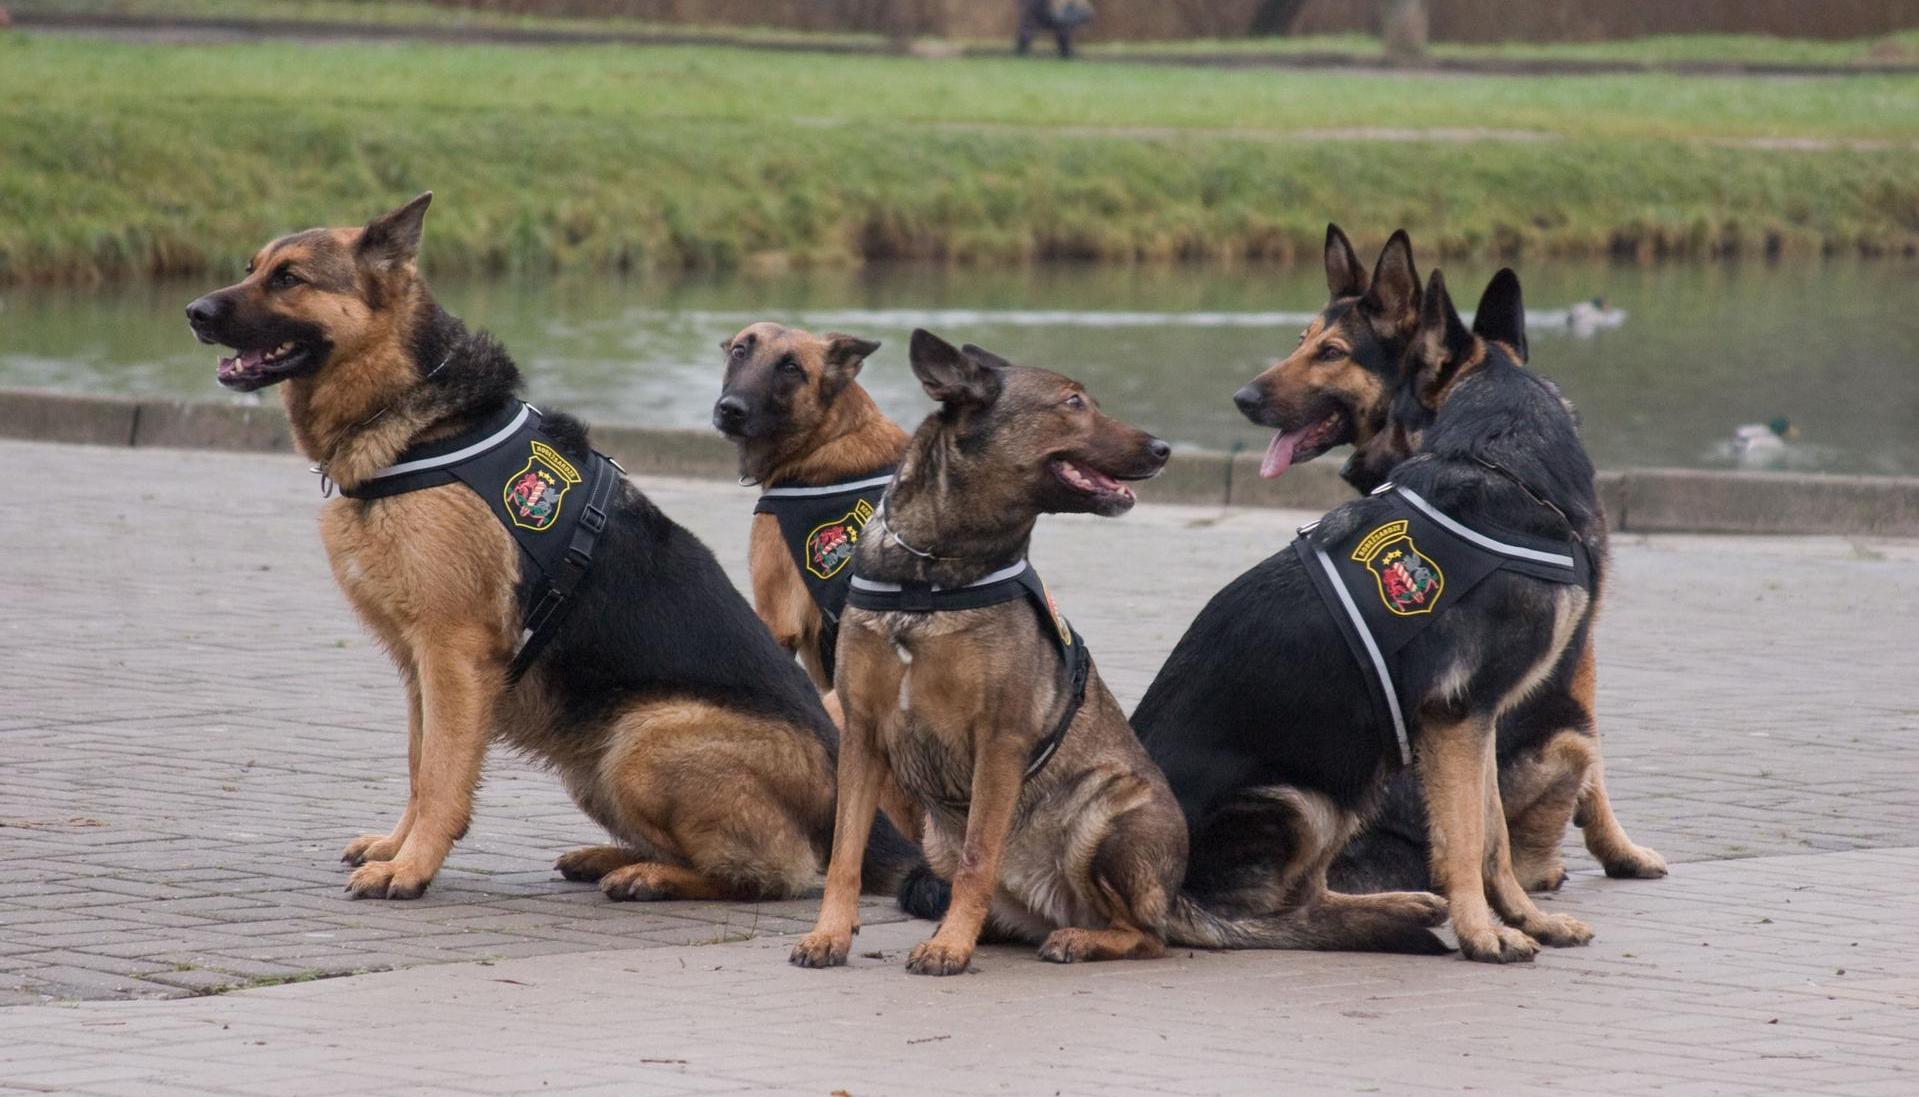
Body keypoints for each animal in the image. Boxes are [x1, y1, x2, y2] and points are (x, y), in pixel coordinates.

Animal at [183, 192, 917, 905]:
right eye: (252, 268)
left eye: (289, 279)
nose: (193, 312)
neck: (420, 423)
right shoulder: (419, 665)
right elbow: (420, 764)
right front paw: (397, 846)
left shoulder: (453, 655)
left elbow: (442, 775)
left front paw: (411, 867)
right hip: (595, 765)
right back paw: (613, 858)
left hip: (642, 739)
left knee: (780, 870)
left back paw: (651, 876)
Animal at [786, 327, 1443, 978]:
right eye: (1074, 402)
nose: (1162, 449)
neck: (931, 574)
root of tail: (1175, 897)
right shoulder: (863, 736)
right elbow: (844, 854)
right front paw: (829, 935)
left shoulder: (999, 741)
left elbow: (979, 857)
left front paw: (949, 946)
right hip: (944, 843)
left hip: (1106, 811)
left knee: (1146, 934)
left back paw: (1078, 938)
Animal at [1136, 268, 1604, 958]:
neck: (1501, 463)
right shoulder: (1457, 718)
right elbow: (1466, 840)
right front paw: (1481, 933)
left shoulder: (1481, 721)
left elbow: (1494, 838)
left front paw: (1523, 919)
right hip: (1305, 797)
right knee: (1266, 917)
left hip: (1350, 785)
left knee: (1309, 894)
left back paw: (1400, 908)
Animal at [1228, 227, 1665, 893]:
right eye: (1301, 343)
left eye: (1329, 352)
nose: (1242, 397)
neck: (1494, 442)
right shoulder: (1579, 647)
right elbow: (1599, 766)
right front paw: (1620, 850)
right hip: (1560, 738)